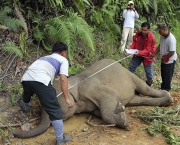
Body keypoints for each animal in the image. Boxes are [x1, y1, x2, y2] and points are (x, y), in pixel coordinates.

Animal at [9, 58, 173, 138]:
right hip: (131, 92)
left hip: (128, 74)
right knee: (137, 100)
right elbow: (98, 112)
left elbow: (112, 95)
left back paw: (169, 97)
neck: (73, 82)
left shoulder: (90, 87)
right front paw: (120, 109)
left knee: (144, 88)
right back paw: (165, 101)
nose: (12, 134)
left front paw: (124, 121)